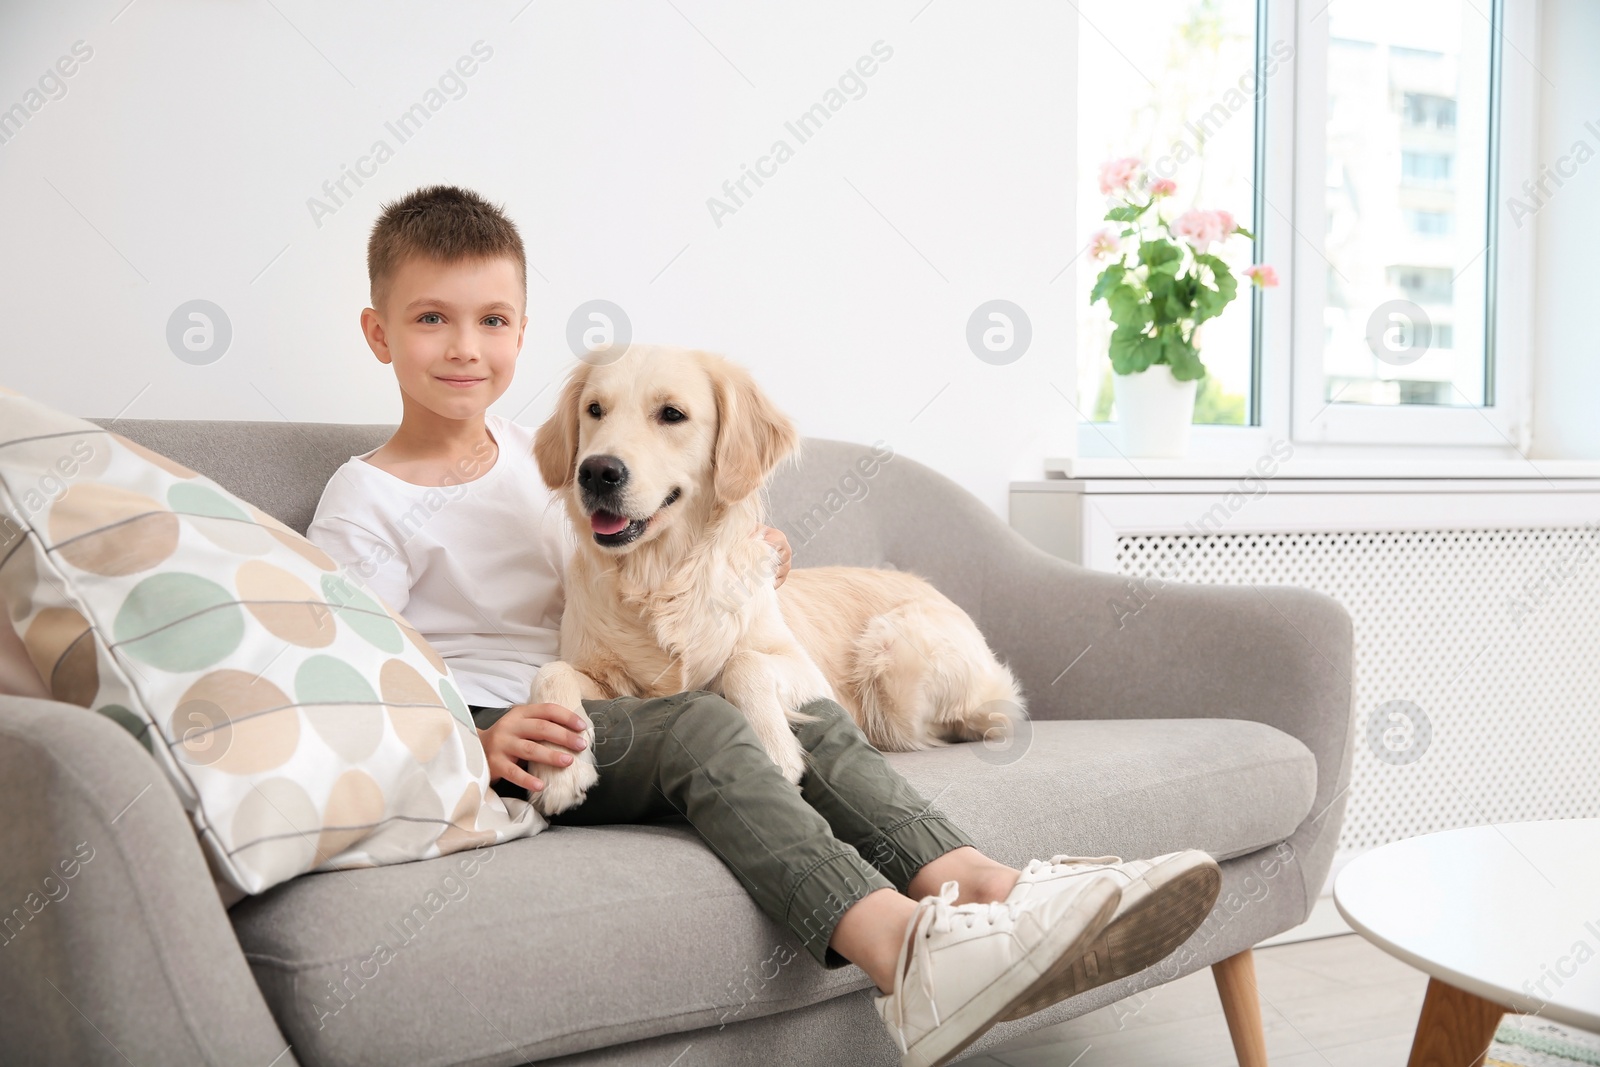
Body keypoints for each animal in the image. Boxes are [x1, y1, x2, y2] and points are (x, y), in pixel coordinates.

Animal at [524, 347, 1024, 812]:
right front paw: (559, 771)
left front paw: (774, 748)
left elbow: (744, 663)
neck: (662, 577)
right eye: (594, 410)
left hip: (891, 653)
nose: (596, 472)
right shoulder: (612, 689)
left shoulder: (809, 673)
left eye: (671, 414)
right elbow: (551, 673)